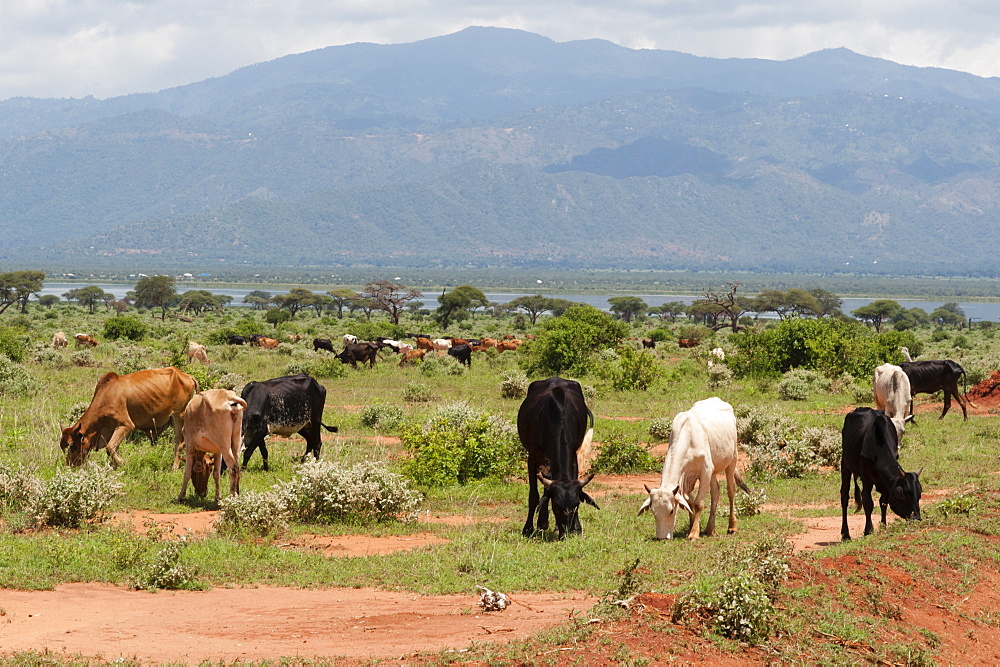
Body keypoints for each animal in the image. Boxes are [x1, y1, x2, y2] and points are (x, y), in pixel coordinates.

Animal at [60, 366, 199, 470]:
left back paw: (174, 467)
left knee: (179, 443)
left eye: (73, 447)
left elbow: (110, 448)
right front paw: (114, 467)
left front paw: (123, 464)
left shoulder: (126, 425)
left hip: (178, 417)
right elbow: (113, 448)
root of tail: (187, 376)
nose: (68, 466)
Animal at [520, 378, 596, 540]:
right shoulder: (532, 457)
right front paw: (528, 529)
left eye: (576, 505)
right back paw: (542, 523)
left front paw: (577, 528)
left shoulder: (573, 456)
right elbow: (534, 495)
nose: (565, 533)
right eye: (556, 506)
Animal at [640, 400, 752, 540]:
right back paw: (710, 529)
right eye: (653, 511)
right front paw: (692, 526)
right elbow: (690, 502)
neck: (688, 438)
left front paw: (693, 533)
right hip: (713, 471)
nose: (661, 537)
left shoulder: (705, 471)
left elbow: (698, 503)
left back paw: (732, 527)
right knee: (715, 493)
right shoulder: (687, 477)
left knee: (731, 491)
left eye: (671, 511)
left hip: (732, 460)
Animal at [836, 408, 920, 544]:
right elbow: (868, 503)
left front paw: (883, 526)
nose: (916, 518)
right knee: (844, 497)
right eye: (903, 495)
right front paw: (868, 530)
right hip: (845, 464)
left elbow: (883, 502)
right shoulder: (866, 479)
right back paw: (845, 535)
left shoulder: (885, 483)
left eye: (919, 494)